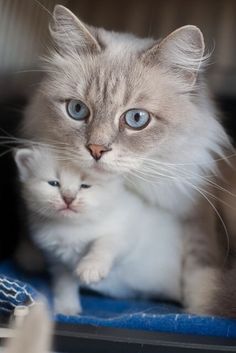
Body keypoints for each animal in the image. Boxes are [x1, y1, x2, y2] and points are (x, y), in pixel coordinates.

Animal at [14, 146, 183, 314]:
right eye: (54, 183)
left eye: (85, 186)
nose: (68, 199)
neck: (72, 226)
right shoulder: (58, 260)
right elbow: (64, 283)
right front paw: (66, 308)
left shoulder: (125, 230)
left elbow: (104, 243)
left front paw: (91, 268)